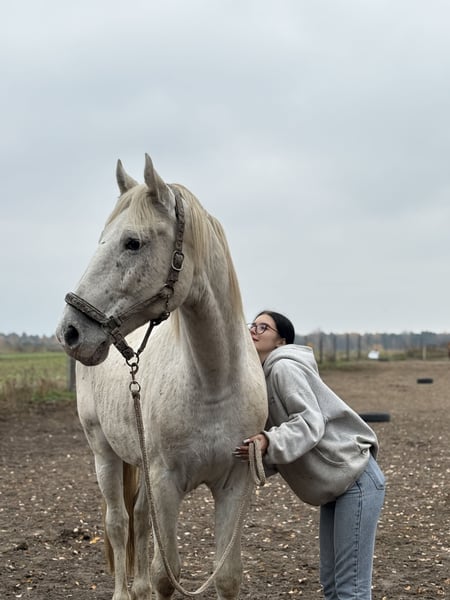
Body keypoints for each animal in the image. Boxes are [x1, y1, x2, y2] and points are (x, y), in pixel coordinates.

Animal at [56, 154, 268, 600]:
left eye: (132, 242)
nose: (70, 332)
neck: (213, 383)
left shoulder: (234, 483)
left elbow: (226, 575)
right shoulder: (166, 485)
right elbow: (165, 575)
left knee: (136, 519)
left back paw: (135, 589)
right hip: (103, 452)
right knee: (118, 523)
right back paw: (123, 591)